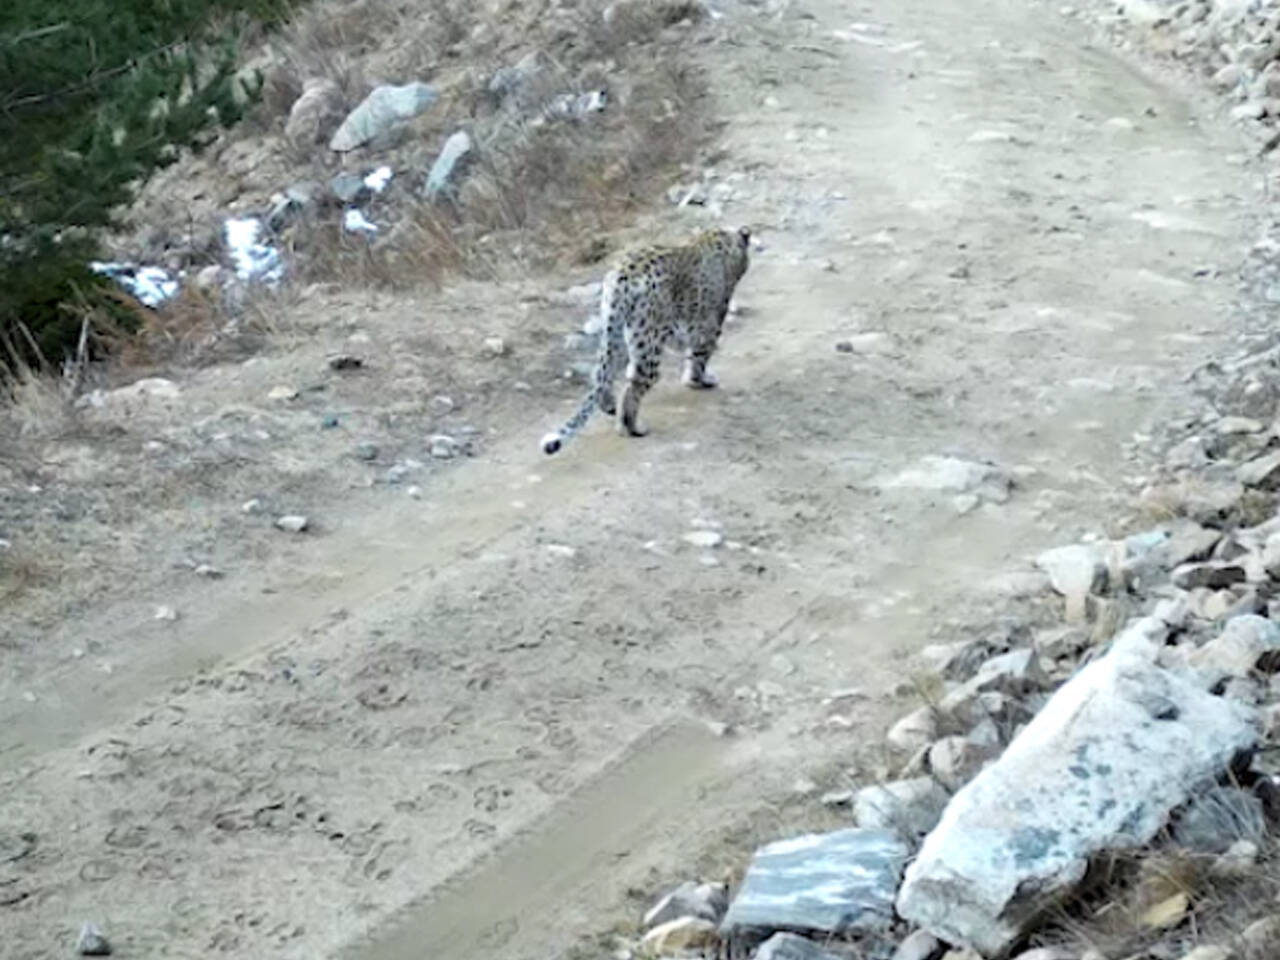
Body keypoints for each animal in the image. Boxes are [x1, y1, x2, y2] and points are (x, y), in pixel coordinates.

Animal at [537, 224, 747, 455]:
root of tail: (623, 275)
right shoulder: (709, 326)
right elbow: (699, 357)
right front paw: (698, 381)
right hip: (648, 344)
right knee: (634, 387)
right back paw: (633, 428)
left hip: (616, 333)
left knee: (601, 372)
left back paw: (609, 406)